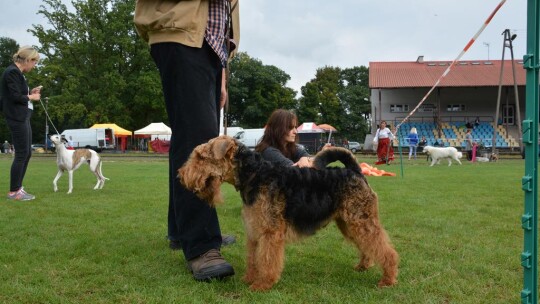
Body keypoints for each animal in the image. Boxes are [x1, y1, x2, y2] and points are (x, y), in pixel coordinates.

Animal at [179, 137, 398, 290]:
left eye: (201, 157)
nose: (180, 176)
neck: (255, 175)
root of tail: (355, 171)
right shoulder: (254, 230)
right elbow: (253, 258)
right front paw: (249, 278)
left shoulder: (270, 232)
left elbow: (266, 259)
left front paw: (262, 284)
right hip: (349, 222)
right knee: (368, 246)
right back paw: (363, 266)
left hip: (360, 220)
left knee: (385, 250)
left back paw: (387, 279)